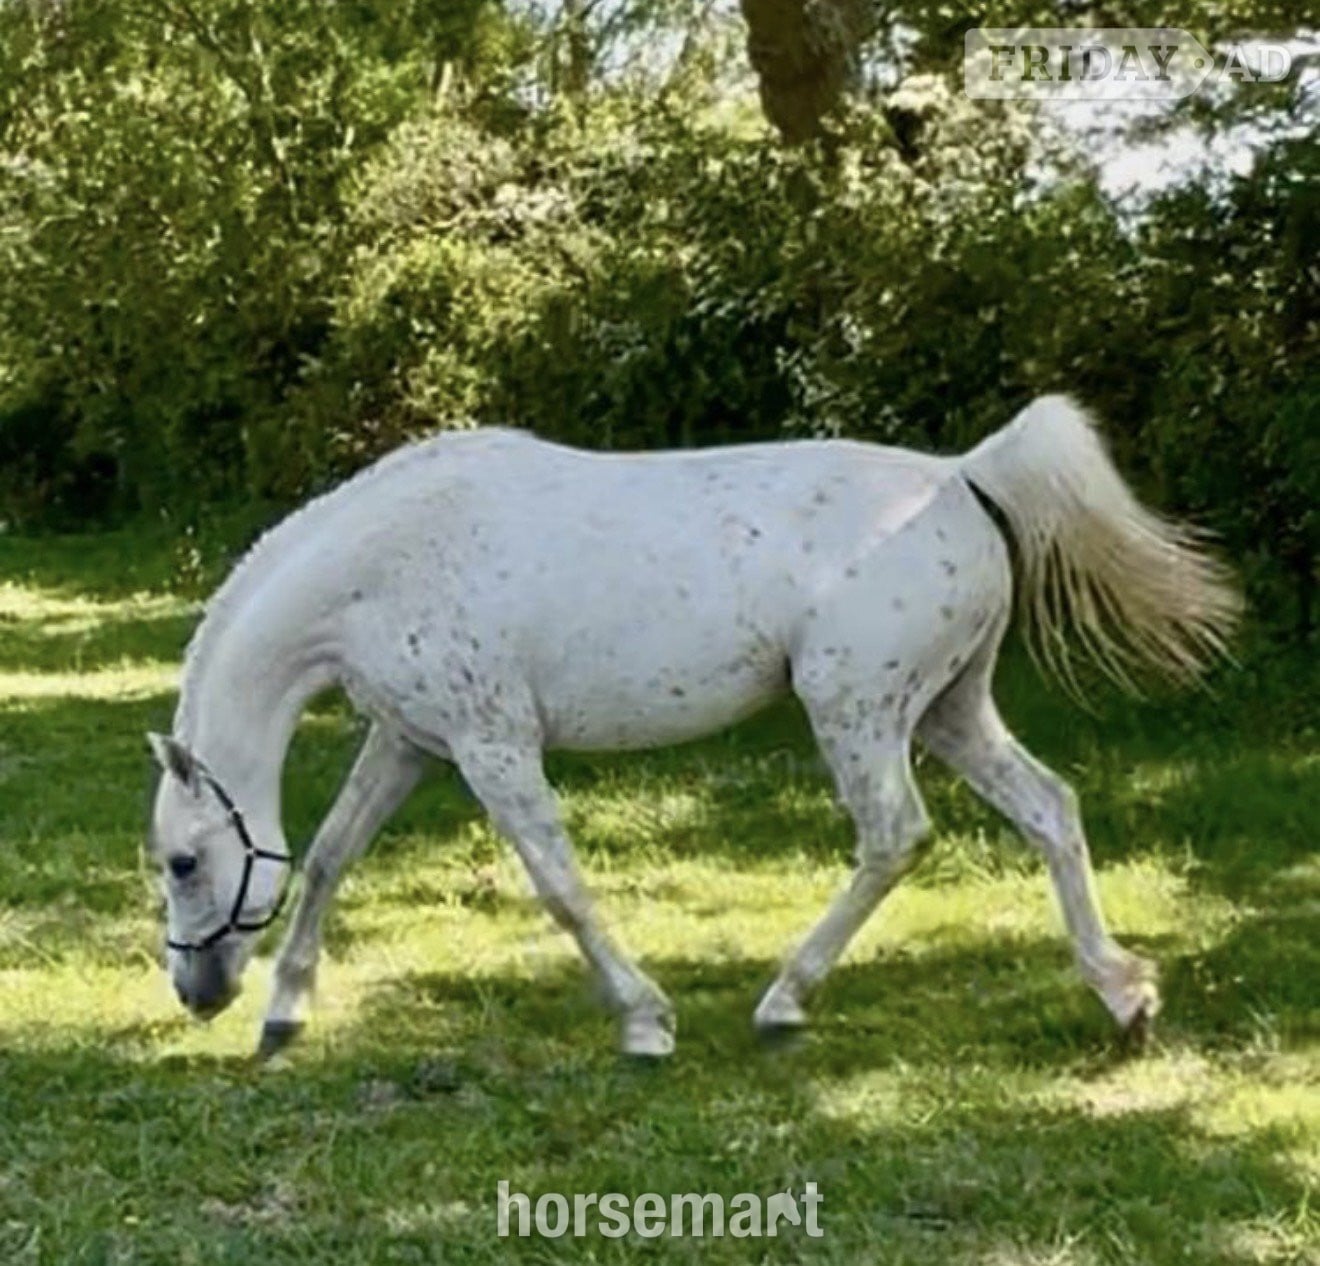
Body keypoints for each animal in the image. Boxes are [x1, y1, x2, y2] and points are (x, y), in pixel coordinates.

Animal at [145, 396, 1239, 1060]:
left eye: (184, 863)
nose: (195, 992)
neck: (387, 560)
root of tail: (959, 476)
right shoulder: (410, 742)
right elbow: (331, 856)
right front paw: (286, 1013)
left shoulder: (494, 749)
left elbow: (561, 889)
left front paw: (645, 1022)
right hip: (950, 710)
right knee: (1050, 810)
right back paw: (1123, 997)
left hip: (858, 711)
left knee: (895, 837)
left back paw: (783, 999)